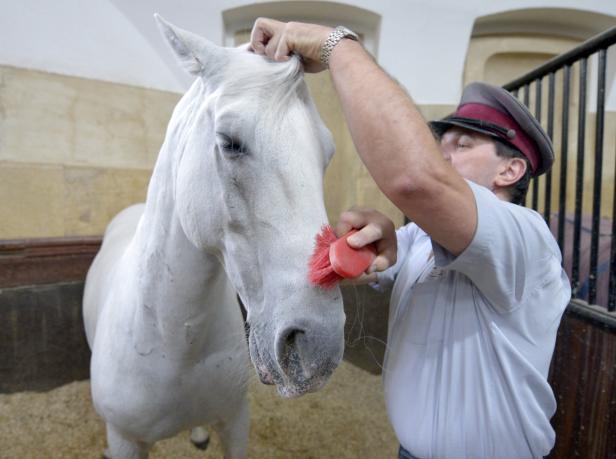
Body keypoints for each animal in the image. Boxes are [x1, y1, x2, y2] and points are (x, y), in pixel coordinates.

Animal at [84, 16, 346, 458]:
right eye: (229, 142)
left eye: (326, 153)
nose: (317, 345)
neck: (171, 342)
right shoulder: (125, 439)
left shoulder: (236, 422)